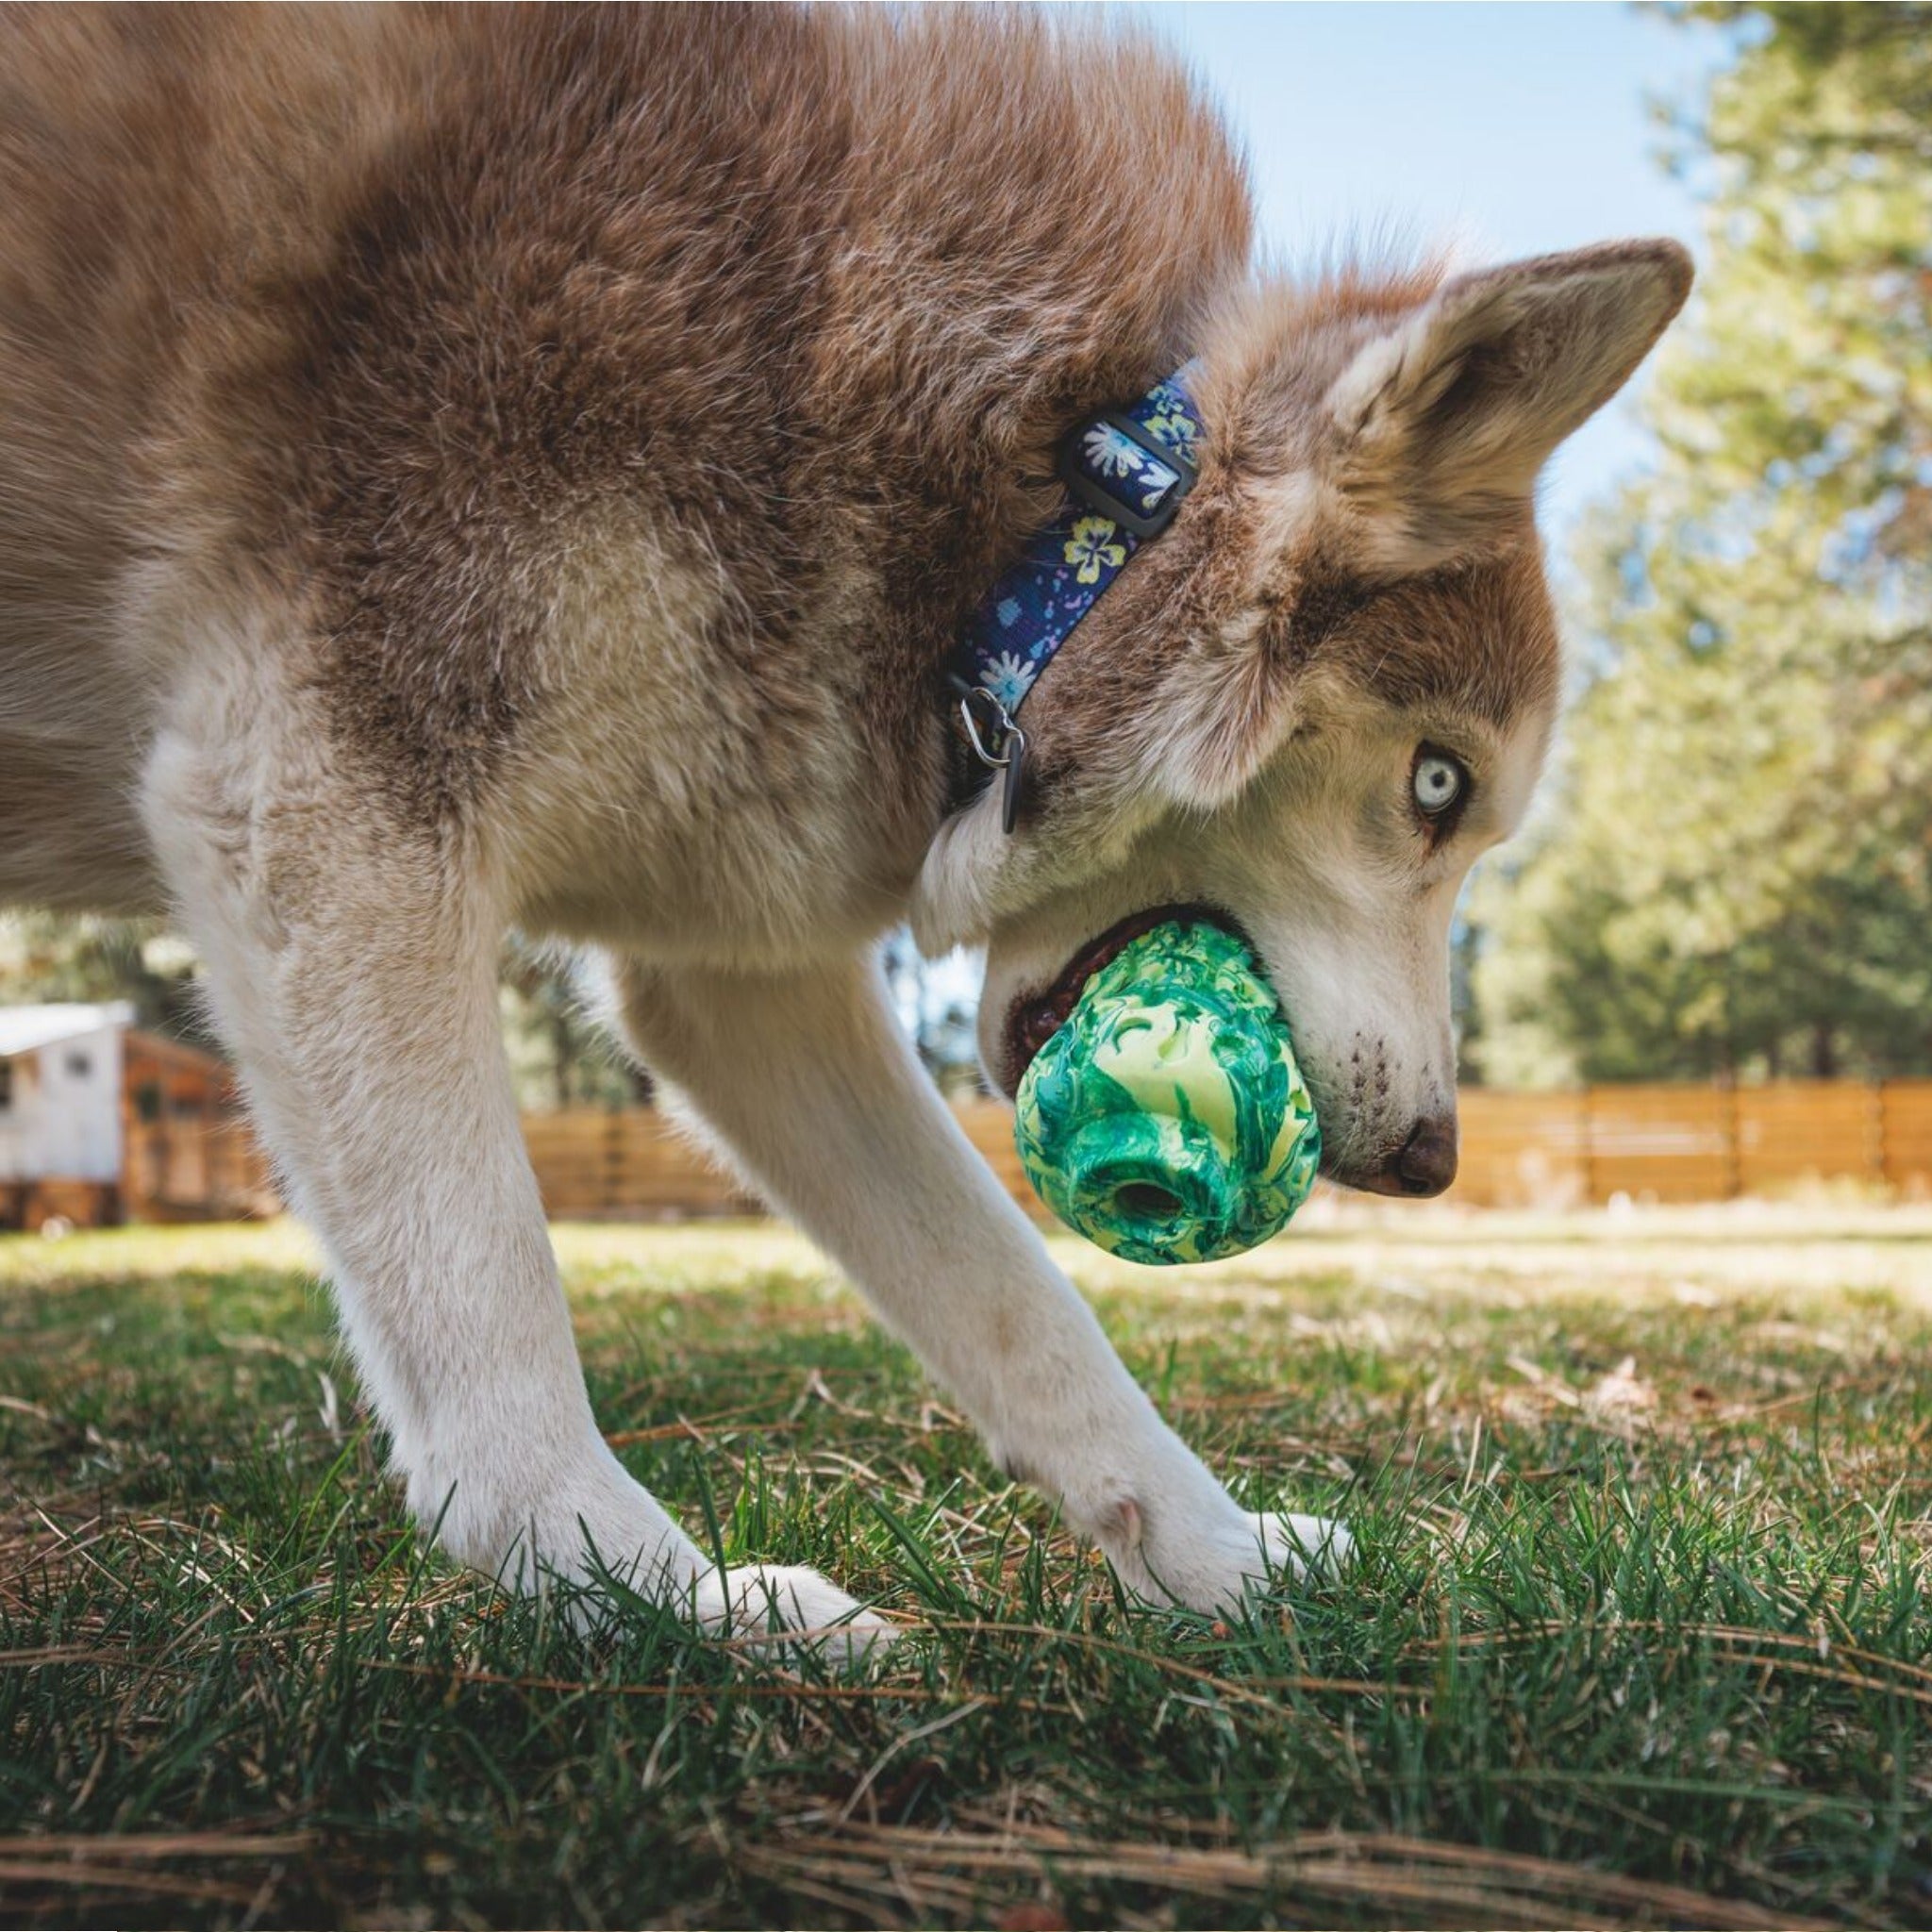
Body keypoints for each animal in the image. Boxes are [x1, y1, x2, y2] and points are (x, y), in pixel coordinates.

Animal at [0, 8, 1692, 1654]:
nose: (1430, 1159)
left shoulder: (738, 986)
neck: (1042, 505)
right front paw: (652, 1600)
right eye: (1438, 788)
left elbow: (1018, 1300)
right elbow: (493, 1318)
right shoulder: (321, 796)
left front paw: (1214, 1559)